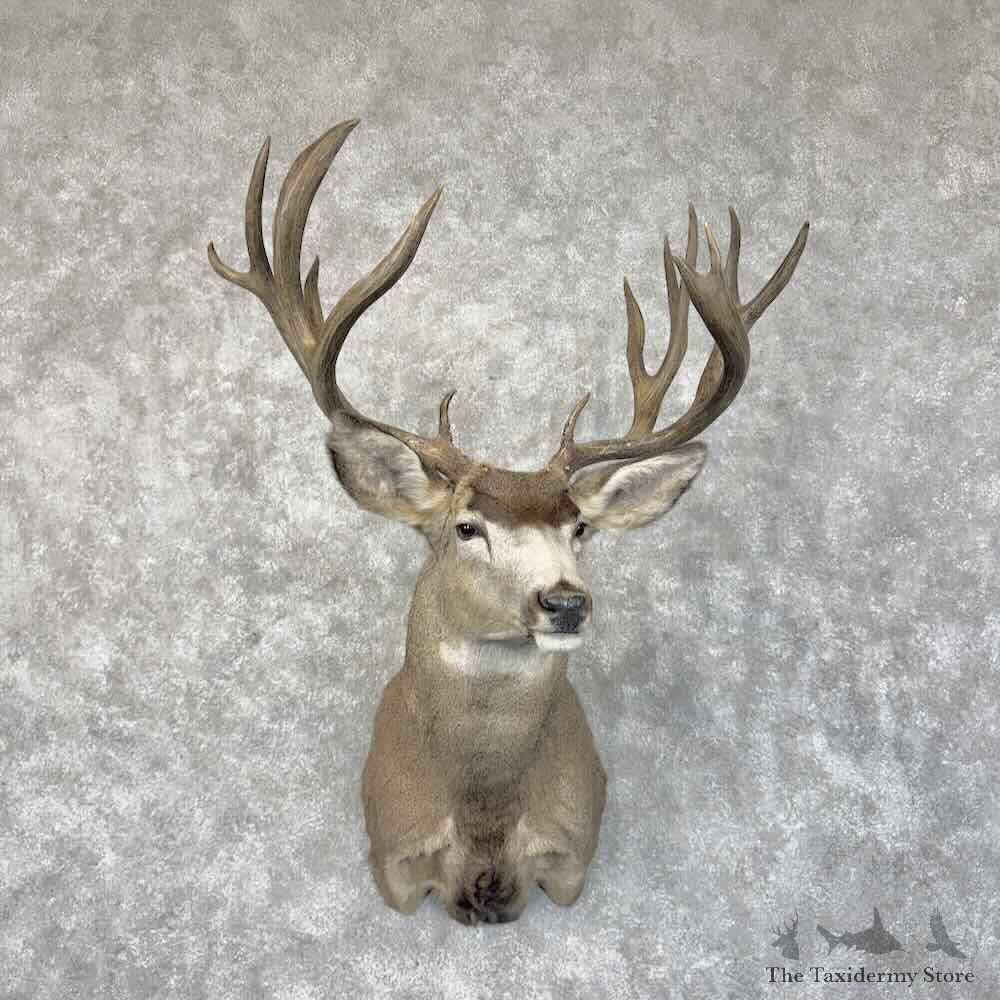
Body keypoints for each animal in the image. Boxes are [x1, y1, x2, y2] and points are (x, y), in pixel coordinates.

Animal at [207, 119, 808, 926]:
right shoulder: (393, 865)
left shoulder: (572, 859)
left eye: (580, 527)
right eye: (467, 527)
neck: (484, 820)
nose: (564, 600)